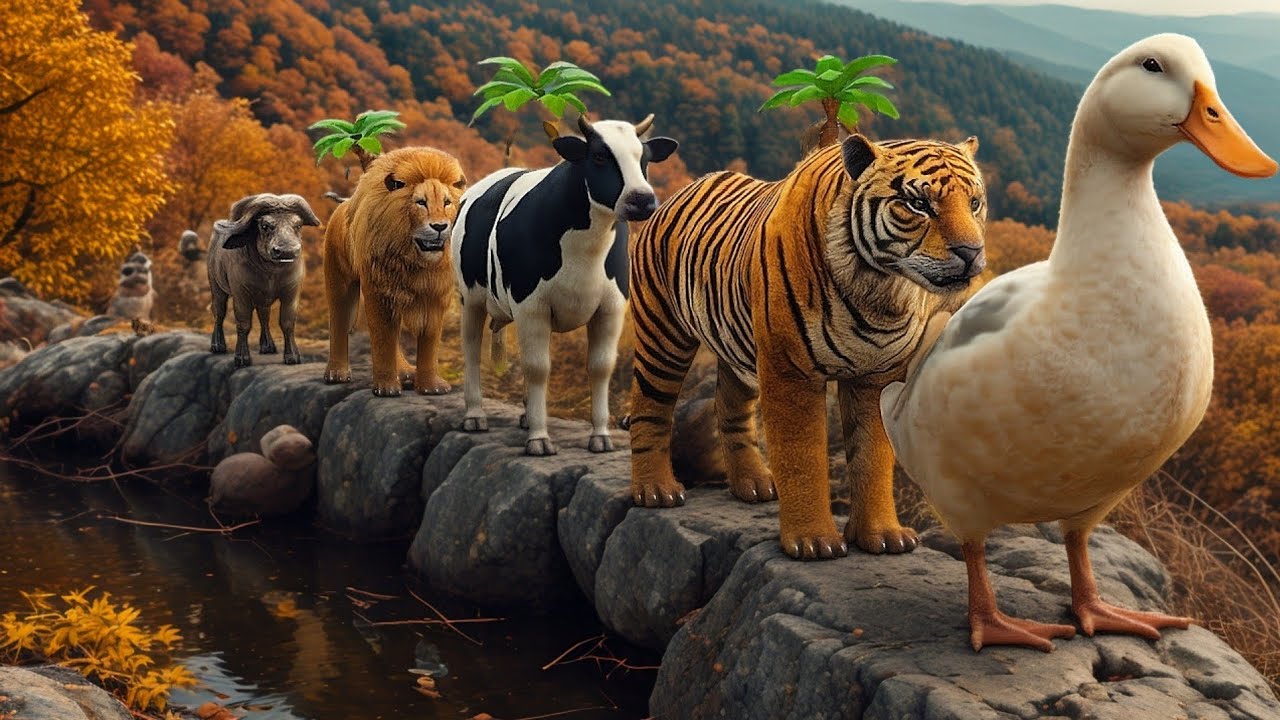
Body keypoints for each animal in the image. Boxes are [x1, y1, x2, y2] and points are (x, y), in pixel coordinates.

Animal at [451, 113, 678, 456]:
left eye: (645, 158)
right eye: (599, 156)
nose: (642, 199)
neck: (585, 249)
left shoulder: (611, 307)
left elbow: (600, 367)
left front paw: (600, 436)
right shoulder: (531, 306)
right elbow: (537, 368)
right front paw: (540, 438)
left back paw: (525, 416)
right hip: (472, 298)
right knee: (472, 350)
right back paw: (475, 415)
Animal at [627, 134, 988, 560]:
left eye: (975, 203)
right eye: (918, 203)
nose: (971, 251)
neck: (881, 291)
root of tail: (679, 193)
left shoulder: (877, 376)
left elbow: (872, 455)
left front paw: (882, 536)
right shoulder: (790, 372)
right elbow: (802, 456)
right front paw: (813, 542)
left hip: (738, 350)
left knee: (729, 406)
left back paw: (752, 484)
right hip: (662, 333)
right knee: (651, 407)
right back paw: (655, 490)